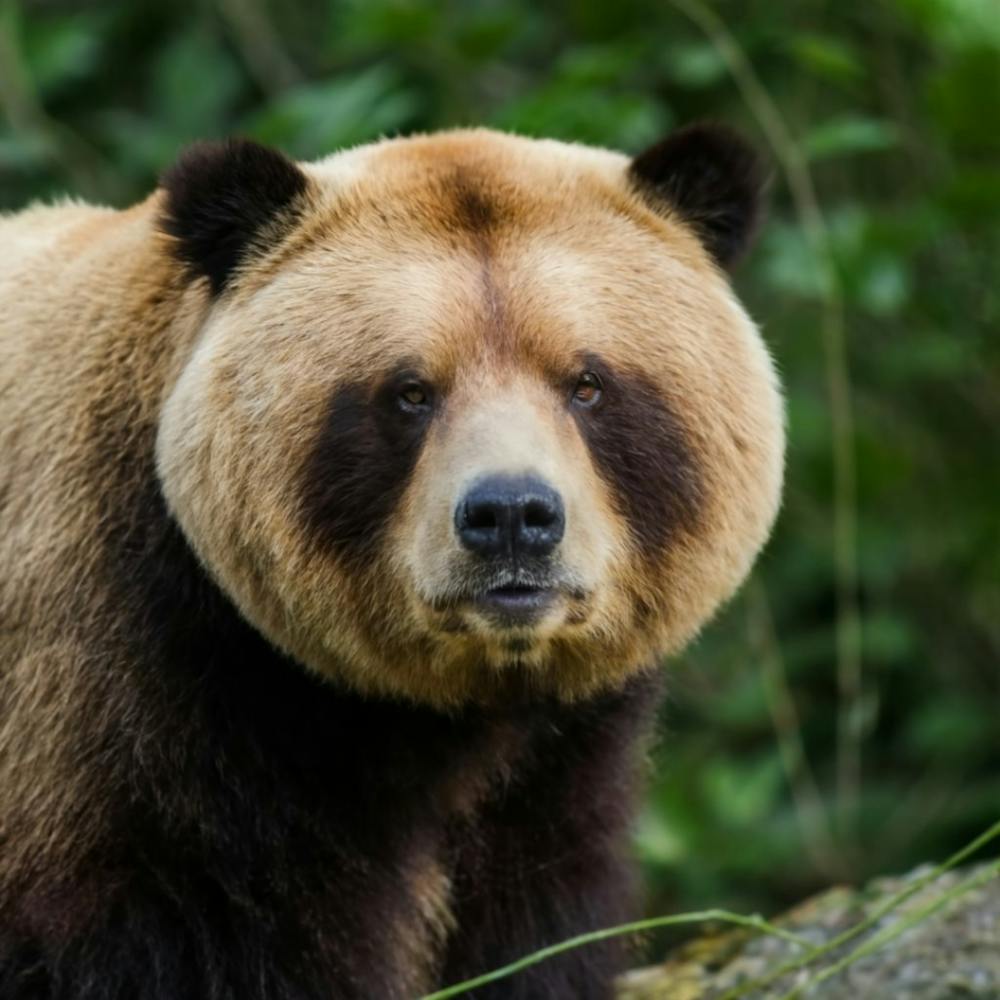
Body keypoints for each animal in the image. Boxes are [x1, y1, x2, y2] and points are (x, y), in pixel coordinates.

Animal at [0, 124, 784, 999]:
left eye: (588, 384)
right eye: (410, 393)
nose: (511, 519)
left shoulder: (564, 751)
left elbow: (538, 905)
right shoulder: (121, 670)